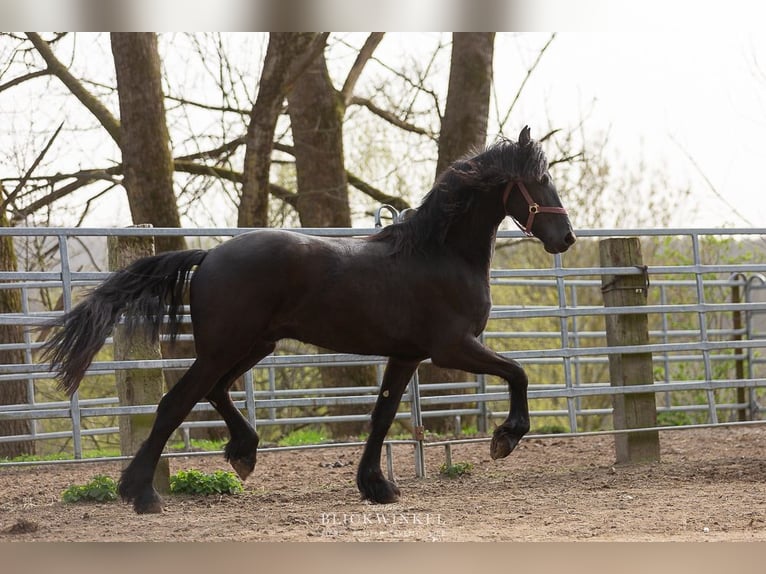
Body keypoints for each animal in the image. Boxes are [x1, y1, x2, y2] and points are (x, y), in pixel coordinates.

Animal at [43, 128, 576, 516]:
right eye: (540, 180)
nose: (566, 238)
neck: (439, 254)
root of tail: (210, 255)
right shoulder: (452, 347)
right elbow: (518, 373)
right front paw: (505, 438)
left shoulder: (406, 355)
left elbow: (382, 415)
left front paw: (376, 485)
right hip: (225, 347)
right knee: (176, 402)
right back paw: (143, 494)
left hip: (254, 345)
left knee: (214, 391)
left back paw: (243, 453)